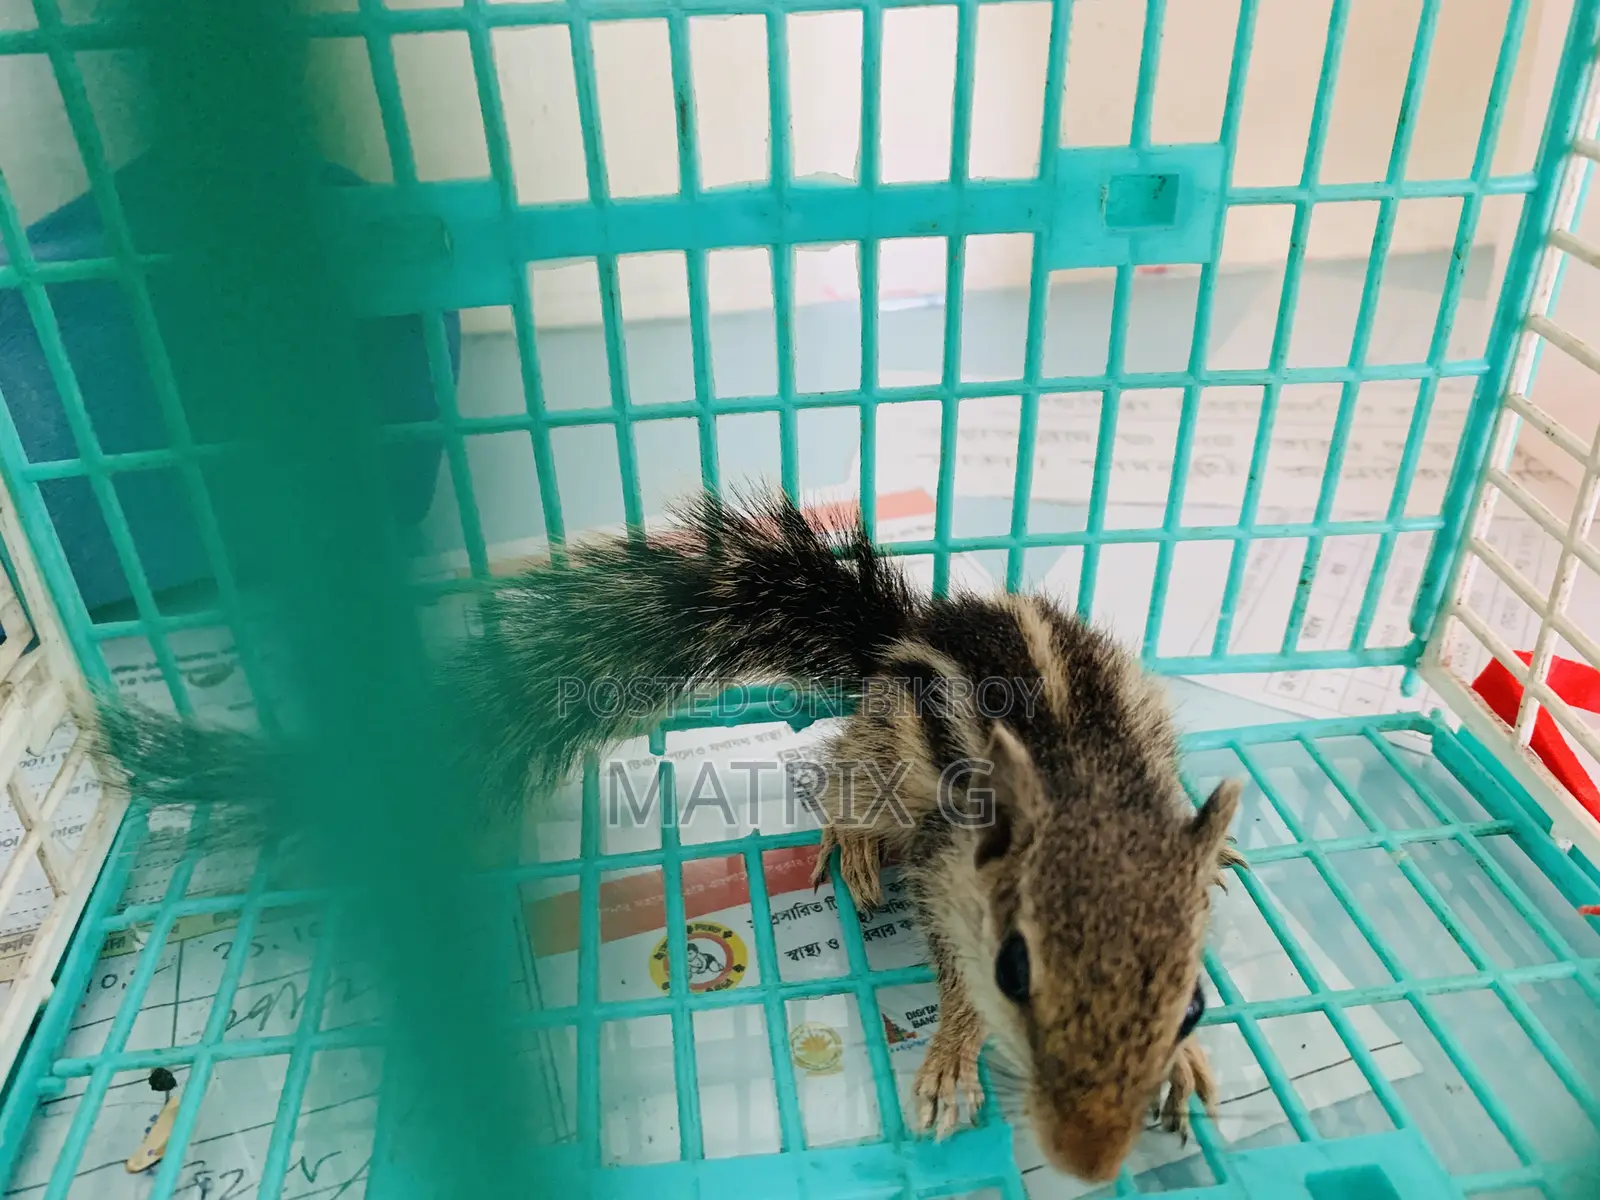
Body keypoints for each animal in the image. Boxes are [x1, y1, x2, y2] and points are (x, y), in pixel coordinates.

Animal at [89, 486, 1245, 1182]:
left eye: (1192, 998)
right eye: (1015, 971)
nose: (1090, 1163)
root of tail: (903, 629)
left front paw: (1188, 1069)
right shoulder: (952, 875)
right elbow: (948, 974)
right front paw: (951, 1058)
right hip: (889, 747)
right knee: (844, 764)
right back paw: (851, 839)